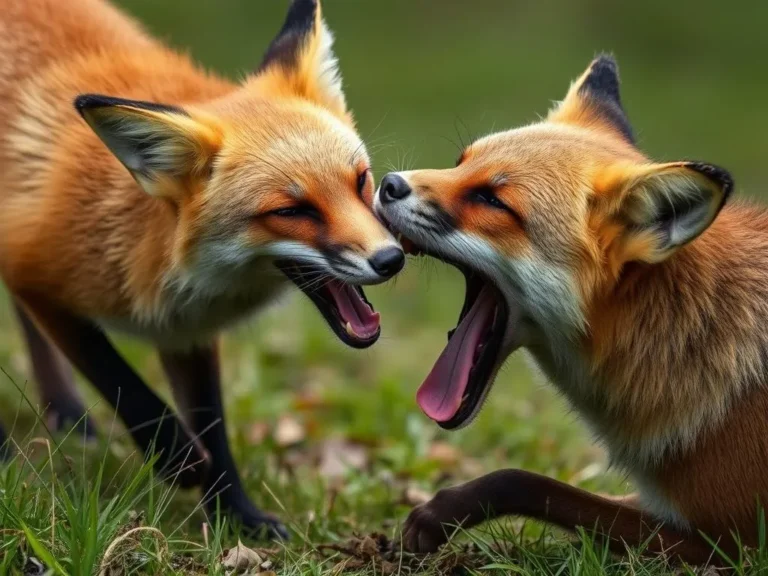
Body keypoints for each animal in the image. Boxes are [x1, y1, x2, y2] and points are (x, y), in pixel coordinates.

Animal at [0, 0, 404, 537]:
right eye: (292, 211)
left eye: (360, 182)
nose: (391, 259)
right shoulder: (36, 276)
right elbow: (126, 385)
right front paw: (179, 461)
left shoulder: (185, 328)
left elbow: (213, 425)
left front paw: (238, 519)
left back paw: (68, 417)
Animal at [374, 55, 763, 565]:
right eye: (460, 163)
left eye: (492, 200)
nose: (386, 183)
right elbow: (527, 483)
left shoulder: (729, 543)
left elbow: (527, 482)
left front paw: (437, 518)